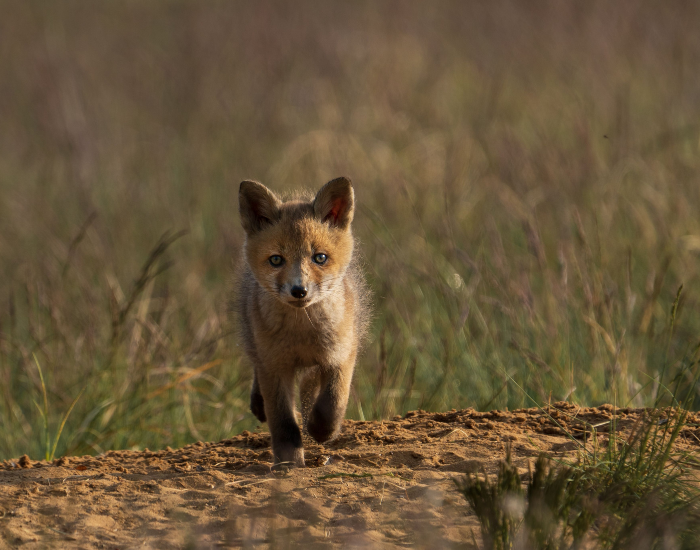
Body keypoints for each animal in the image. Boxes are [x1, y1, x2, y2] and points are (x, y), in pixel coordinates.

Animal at [234, 177, 370, 467]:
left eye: (320, 257)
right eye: (276, 259)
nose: (299, 291)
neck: (302, 333)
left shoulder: (341, 355)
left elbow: (332, 402)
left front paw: (321, 430)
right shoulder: (274, 366)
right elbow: (283, 422)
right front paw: (289, 463)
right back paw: (258, 402)